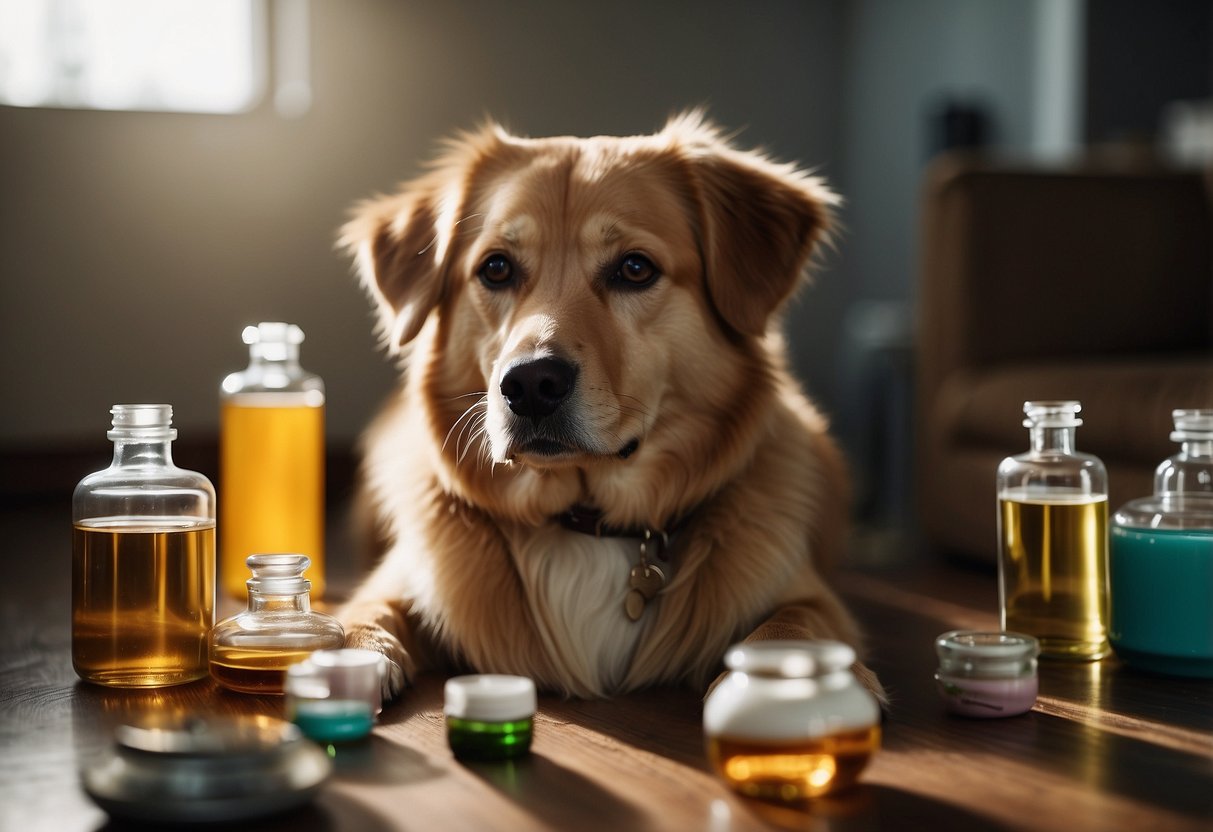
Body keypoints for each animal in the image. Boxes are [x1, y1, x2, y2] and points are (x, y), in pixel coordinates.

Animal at [337, 112, 878, 703]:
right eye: (496, 269)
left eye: (635, 269)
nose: (530, 384)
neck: (588, 523)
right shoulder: (395, 581)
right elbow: (360, 616)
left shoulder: (813, 599)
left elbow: (790, 627)